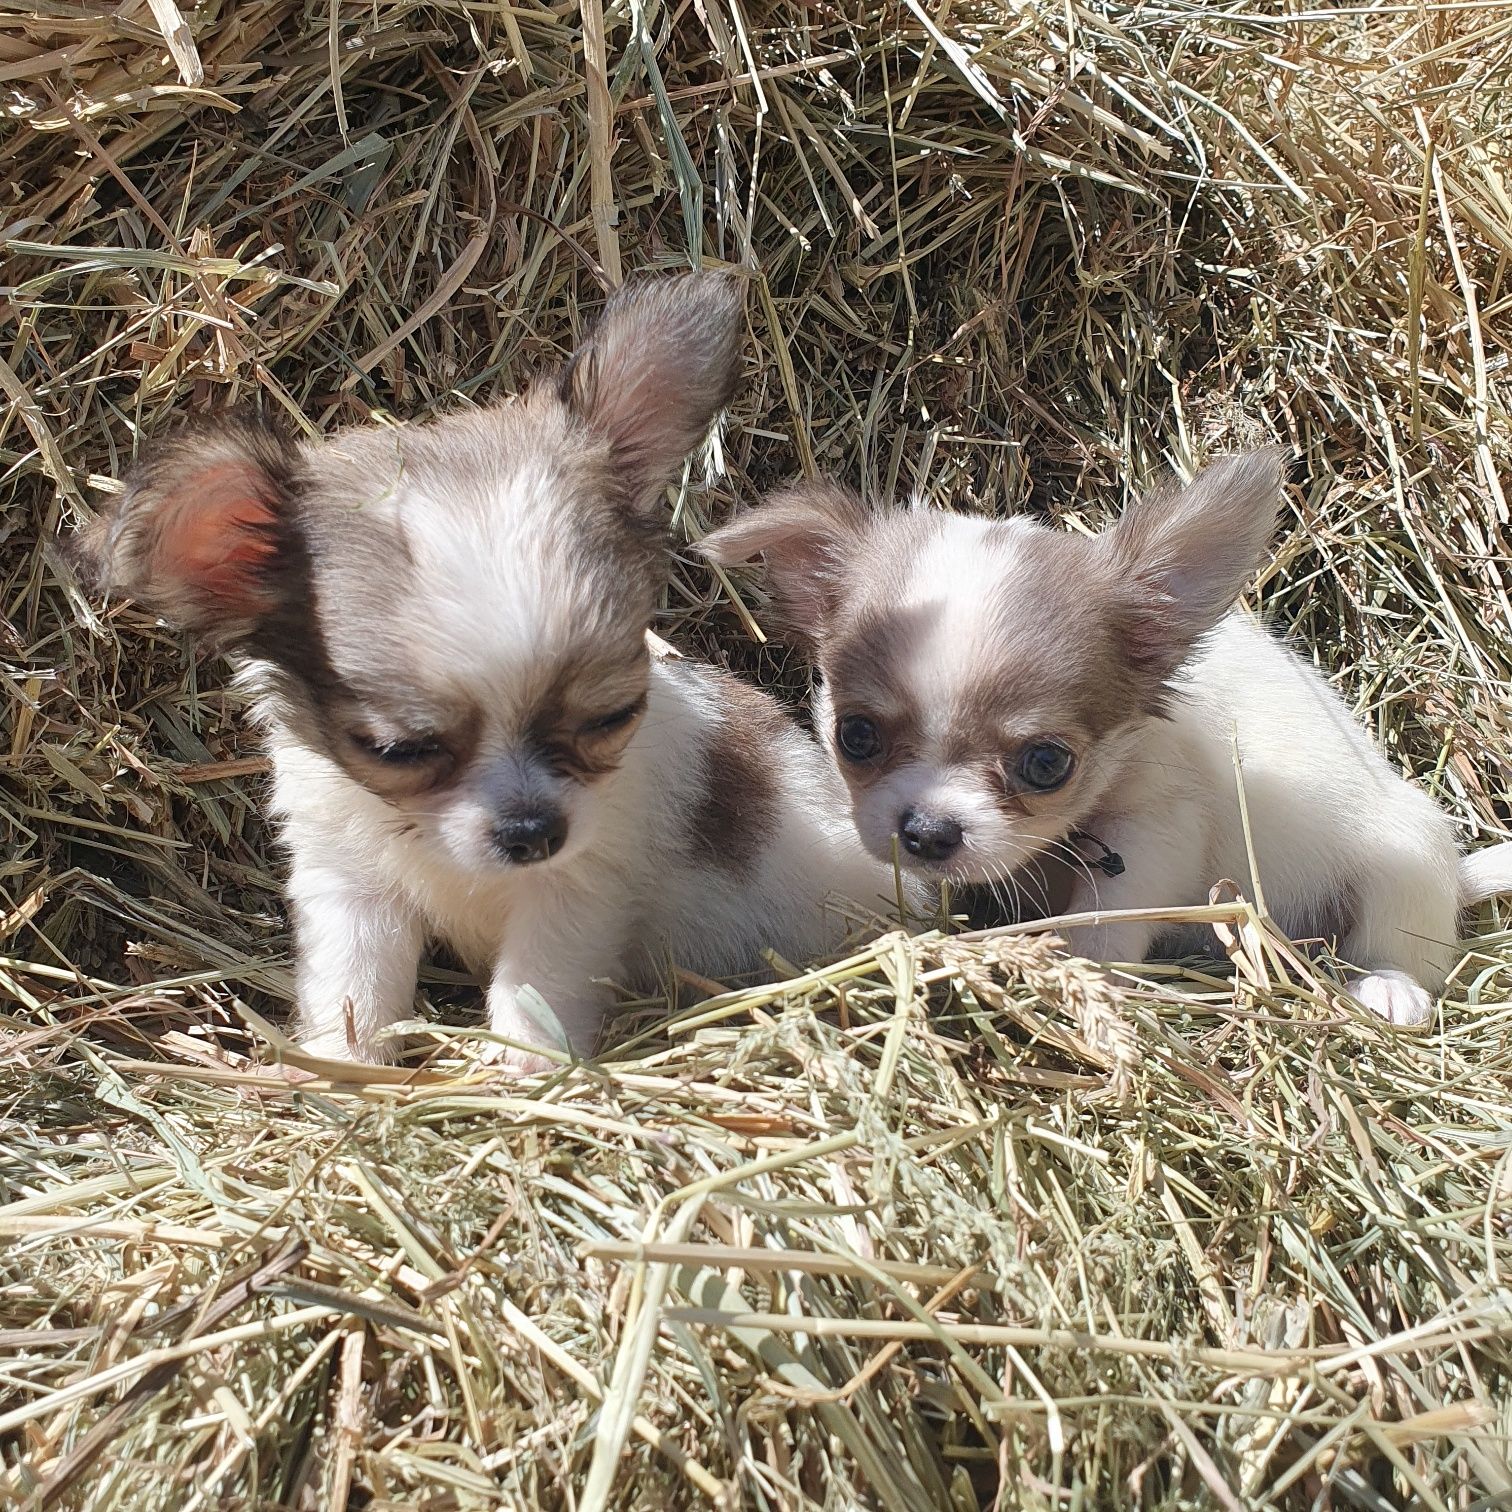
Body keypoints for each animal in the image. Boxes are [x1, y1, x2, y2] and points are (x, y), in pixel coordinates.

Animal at [76, 275, 901, 1076]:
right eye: (398, 751)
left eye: (611, 717)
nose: (533, 830)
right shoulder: (350, 885)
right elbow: (354, 986)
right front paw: (342, 1069)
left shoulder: (575, 892)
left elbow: (536, 985)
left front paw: (528, 1069)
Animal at [704, 441, 1512, 1022]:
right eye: (856, 735)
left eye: (1046, 763)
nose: (929, 832)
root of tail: (1458, 874)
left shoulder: (1156, 828)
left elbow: (1106, 915)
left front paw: (1075, 967)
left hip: (1402, 862)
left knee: (1402, 942)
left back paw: (1390, 989)